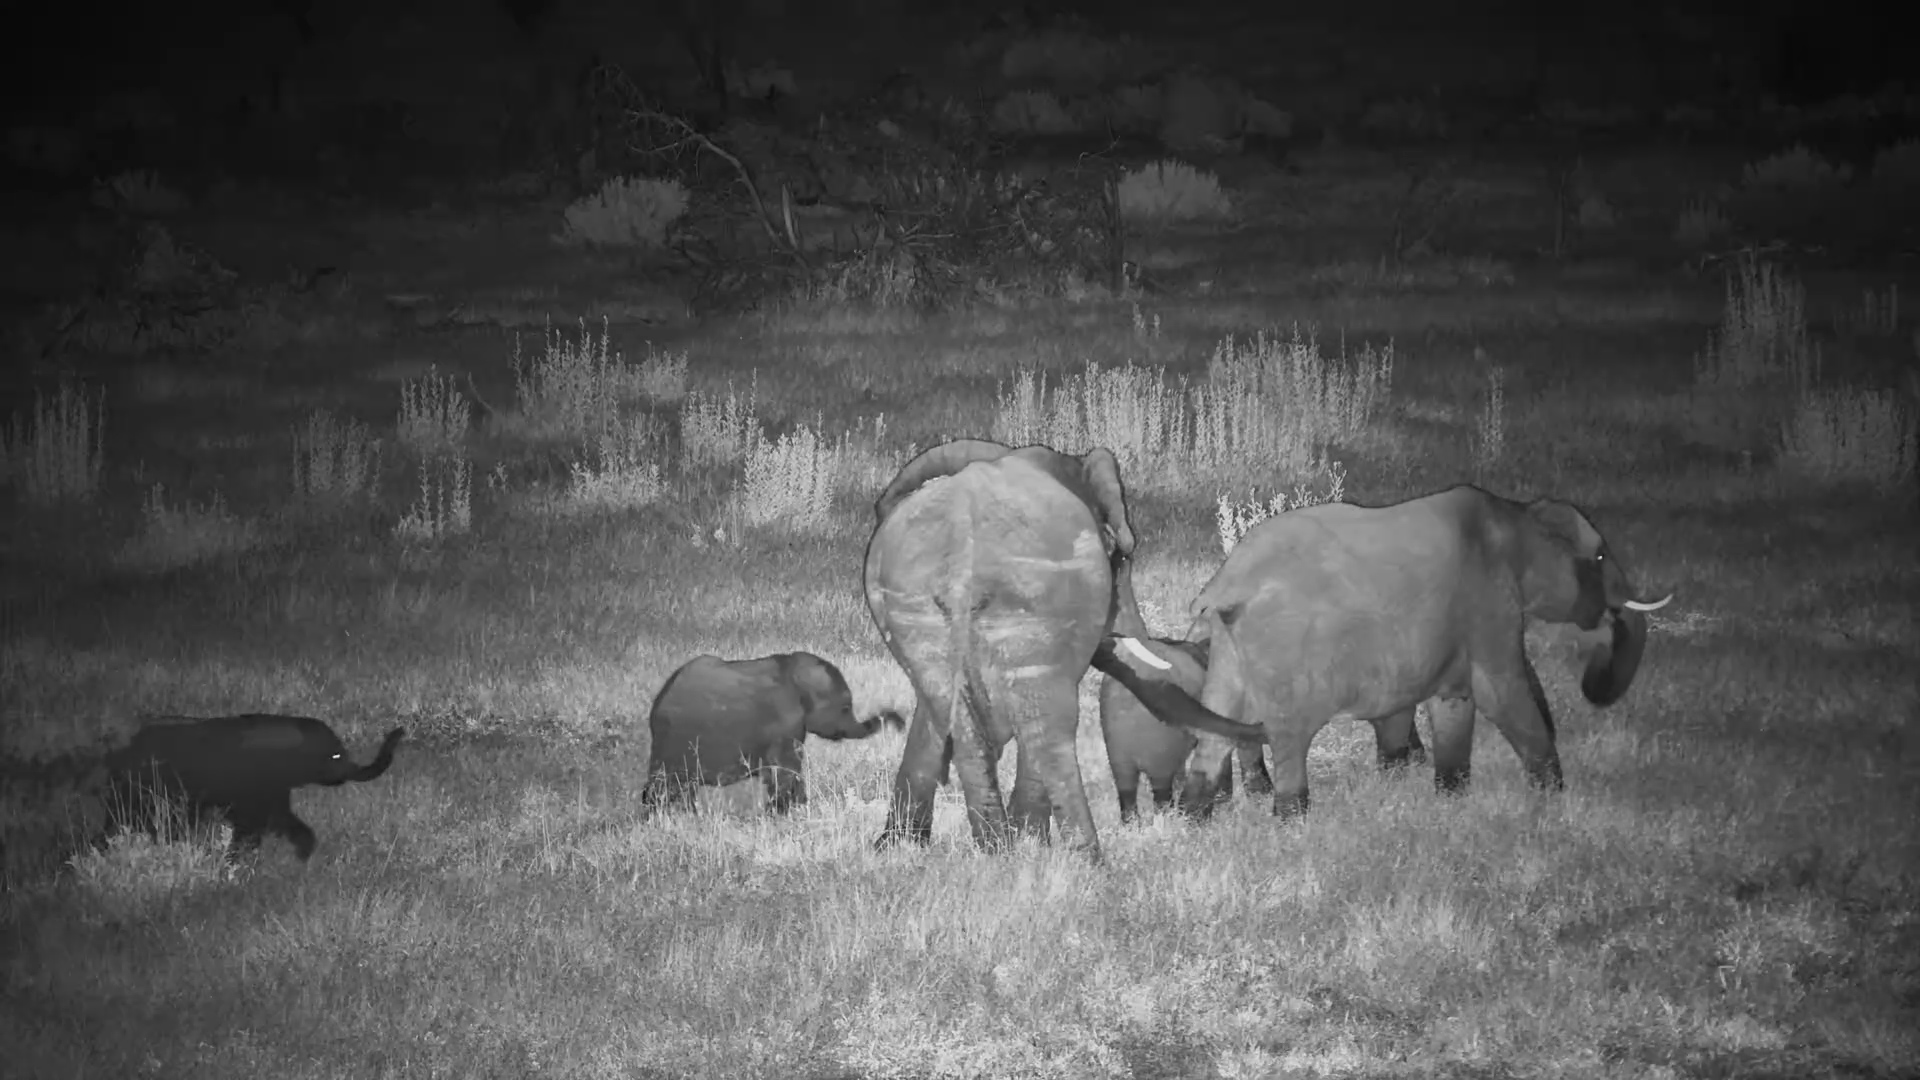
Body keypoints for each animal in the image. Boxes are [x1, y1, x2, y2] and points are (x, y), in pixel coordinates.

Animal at [100, 714, 405, 861]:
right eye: (335, 755)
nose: (399, 731)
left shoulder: (272, 798)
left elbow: (293, 828)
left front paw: (303, 859)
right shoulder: (251, 802)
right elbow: (249, 834)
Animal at [642, 652, 903, 814]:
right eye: (845, 707)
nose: (900, 723)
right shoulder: (784, 722)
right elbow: (784, 772)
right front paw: (784, 814)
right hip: (675, 741)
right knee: (665, 784)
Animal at [866, 438, 1152, 862]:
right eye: (1121, 556)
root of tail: (960, 560)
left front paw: (896, 845)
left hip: (912, 607)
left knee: (958, 721)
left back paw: (996, 850)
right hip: (1035, 601)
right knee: (1048, 726)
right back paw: (1081, 857)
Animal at [1094, 485, 1671, 819]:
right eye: (1600, 557)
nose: (1594, 678)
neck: (1519, 515)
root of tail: (1223, 586)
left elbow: (1454, 701)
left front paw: (1449, 797)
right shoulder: (1489, 606)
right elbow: (1500, 692)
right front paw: (1554, 795)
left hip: (1232, 654)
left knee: (1218, 729)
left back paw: (1196, 819)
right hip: (1283, 656)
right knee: (1289, 735)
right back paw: (1291, 816)